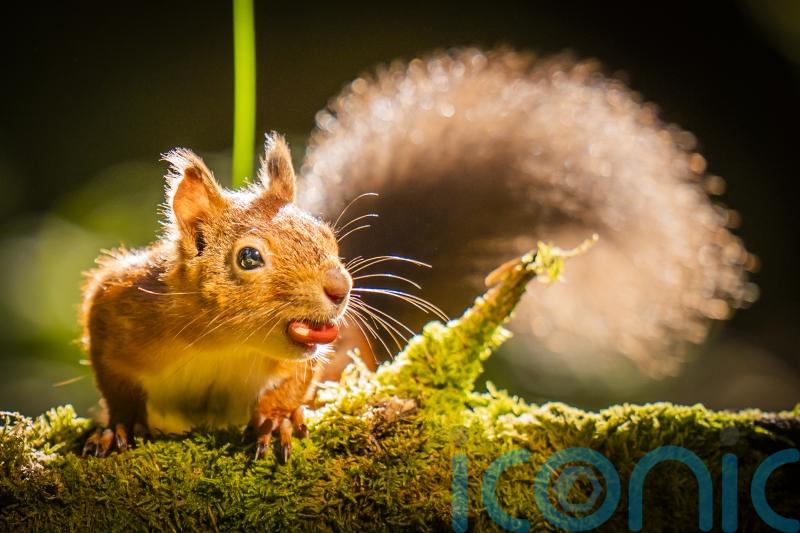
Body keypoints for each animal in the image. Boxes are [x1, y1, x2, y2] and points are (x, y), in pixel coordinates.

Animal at [80, 48, 752, 460]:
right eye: (248, 259)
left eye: (328, 237)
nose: (339, 290)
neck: (221, 345)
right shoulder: (116, 306)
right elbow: (114, 376)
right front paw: (118, 425)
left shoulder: (306, 356)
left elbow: (295, 380)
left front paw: (278, 418)